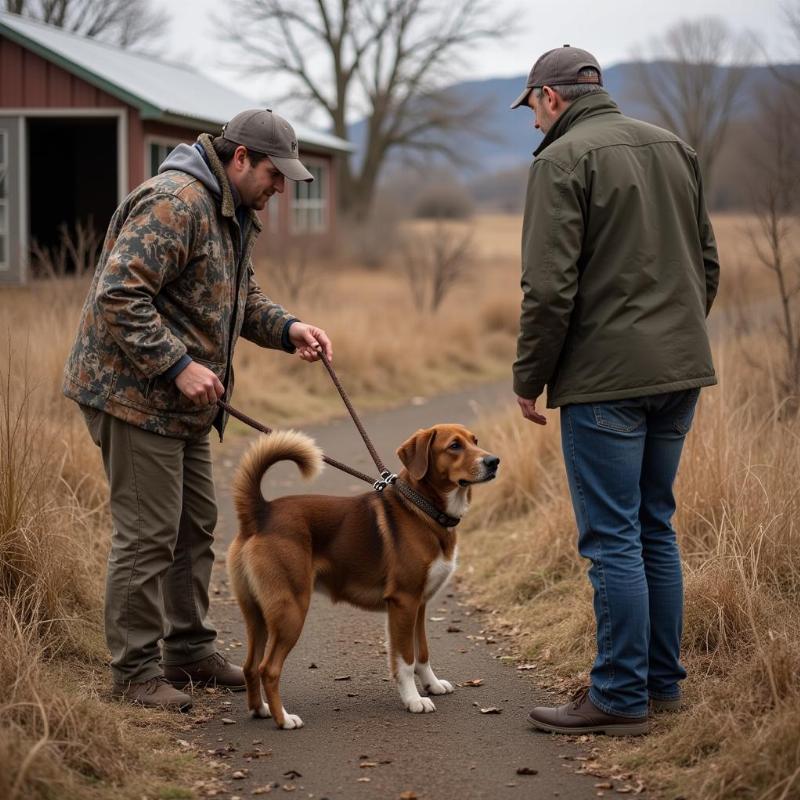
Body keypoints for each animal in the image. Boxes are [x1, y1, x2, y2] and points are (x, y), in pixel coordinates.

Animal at [227, 424, 500, 732]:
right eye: (454, 446)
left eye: (475, 440)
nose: (494, 461)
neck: (423, 508)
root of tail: (260, 512)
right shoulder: (404, 602)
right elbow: (405, 660)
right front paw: (413, 700)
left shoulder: (419, 605)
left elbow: (422, 653)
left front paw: (431, 685)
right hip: (291, 611)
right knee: (268, 669)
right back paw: (284, 719)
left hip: (257, 614)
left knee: (250, 666)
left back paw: (260, 709)